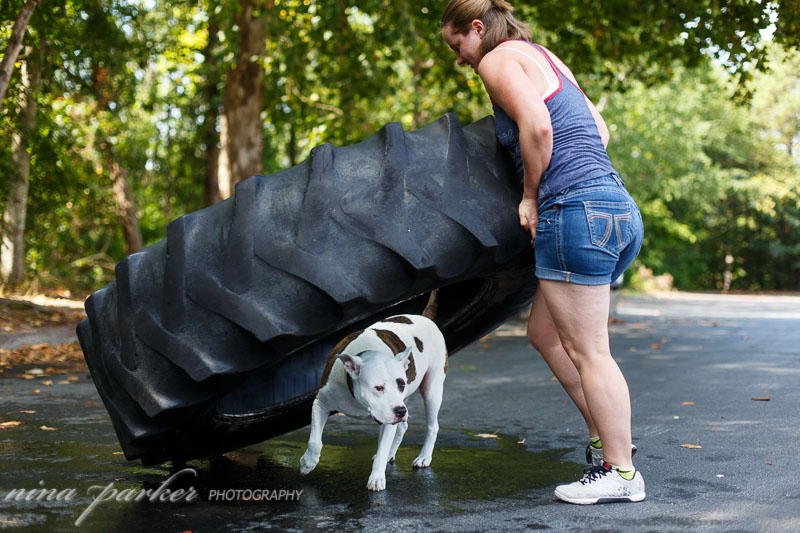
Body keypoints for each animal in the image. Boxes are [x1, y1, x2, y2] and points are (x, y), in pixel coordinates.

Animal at [302, 290, 450, 490]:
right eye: (378, 388)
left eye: (401, 384)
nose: (401, 411)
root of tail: (425, 318)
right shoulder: (321, 404)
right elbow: (314, 440)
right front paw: (308, 462)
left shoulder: (390, 416)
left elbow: (382, 448)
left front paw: (377, 477)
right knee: (402, 427)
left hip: (430, 391)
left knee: (432, 425)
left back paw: (424, 456)